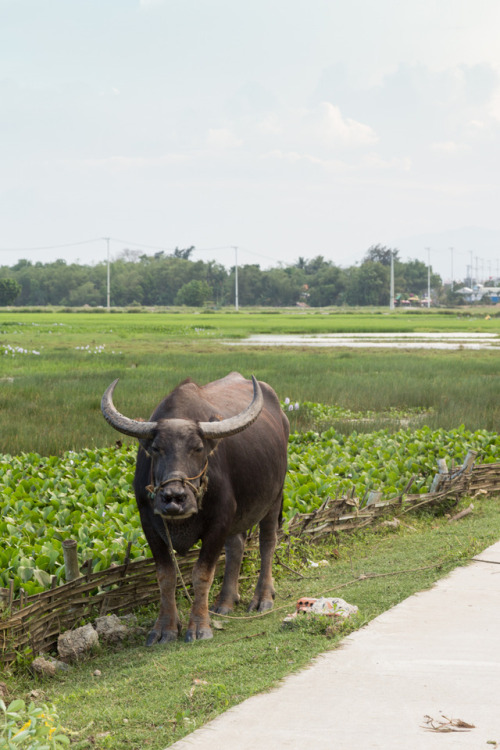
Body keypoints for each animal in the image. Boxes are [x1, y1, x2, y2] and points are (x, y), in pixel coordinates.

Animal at [101, 374, 290, 644]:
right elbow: (166, 576)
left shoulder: (219, 521)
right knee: (236, 546)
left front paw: (199, 627)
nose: (174, 498)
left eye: (197, 448)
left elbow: (201, 574)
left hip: (275, 497)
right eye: (157, 448)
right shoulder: (148, 524)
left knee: (267, 542)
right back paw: (225, 602)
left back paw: (262, 598)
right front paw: (164, 629)